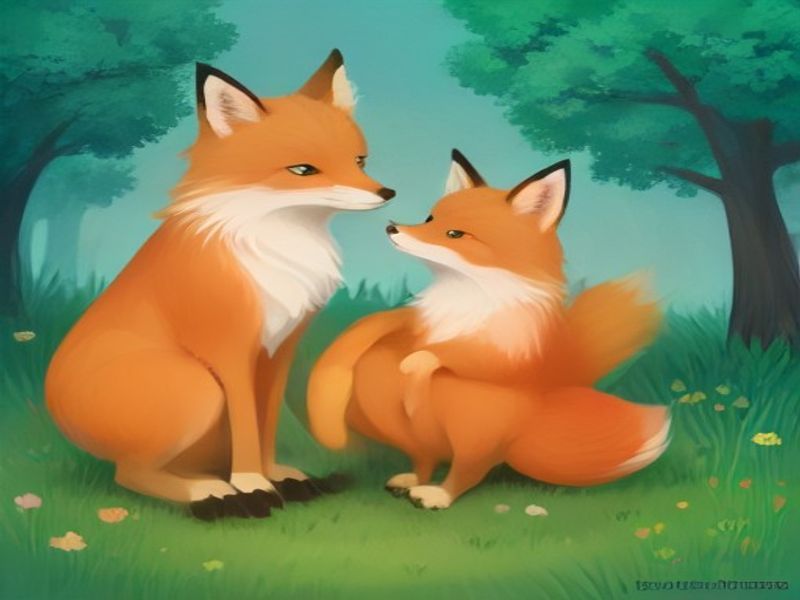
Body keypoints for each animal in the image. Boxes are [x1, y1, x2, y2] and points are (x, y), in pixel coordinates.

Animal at [45, 50, 395, 520]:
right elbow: (246, 427)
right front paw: (252, 484)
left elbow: (265, 424)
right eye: (303, 170)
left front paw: (275, 475)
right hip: (198, 387)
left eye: (359, 161)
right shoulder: (229, 351)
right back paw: (211, 494)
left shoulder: (278, 351)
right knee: (130, 474)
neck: (276, 245)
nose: (386, 193)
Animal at [307, 150, 669, 509]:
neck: (467, 292)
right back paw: (414, 479)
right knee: (424, 455)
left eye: (455, 234)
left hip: (475, 425)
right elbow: (385, 329)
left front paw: (417, 374)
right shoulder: (416, 325)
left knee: (469, 470)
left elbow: (455, 358)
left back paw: (438, 494)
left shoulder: (514, 351)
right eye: (429, 219)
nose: (391, 227)